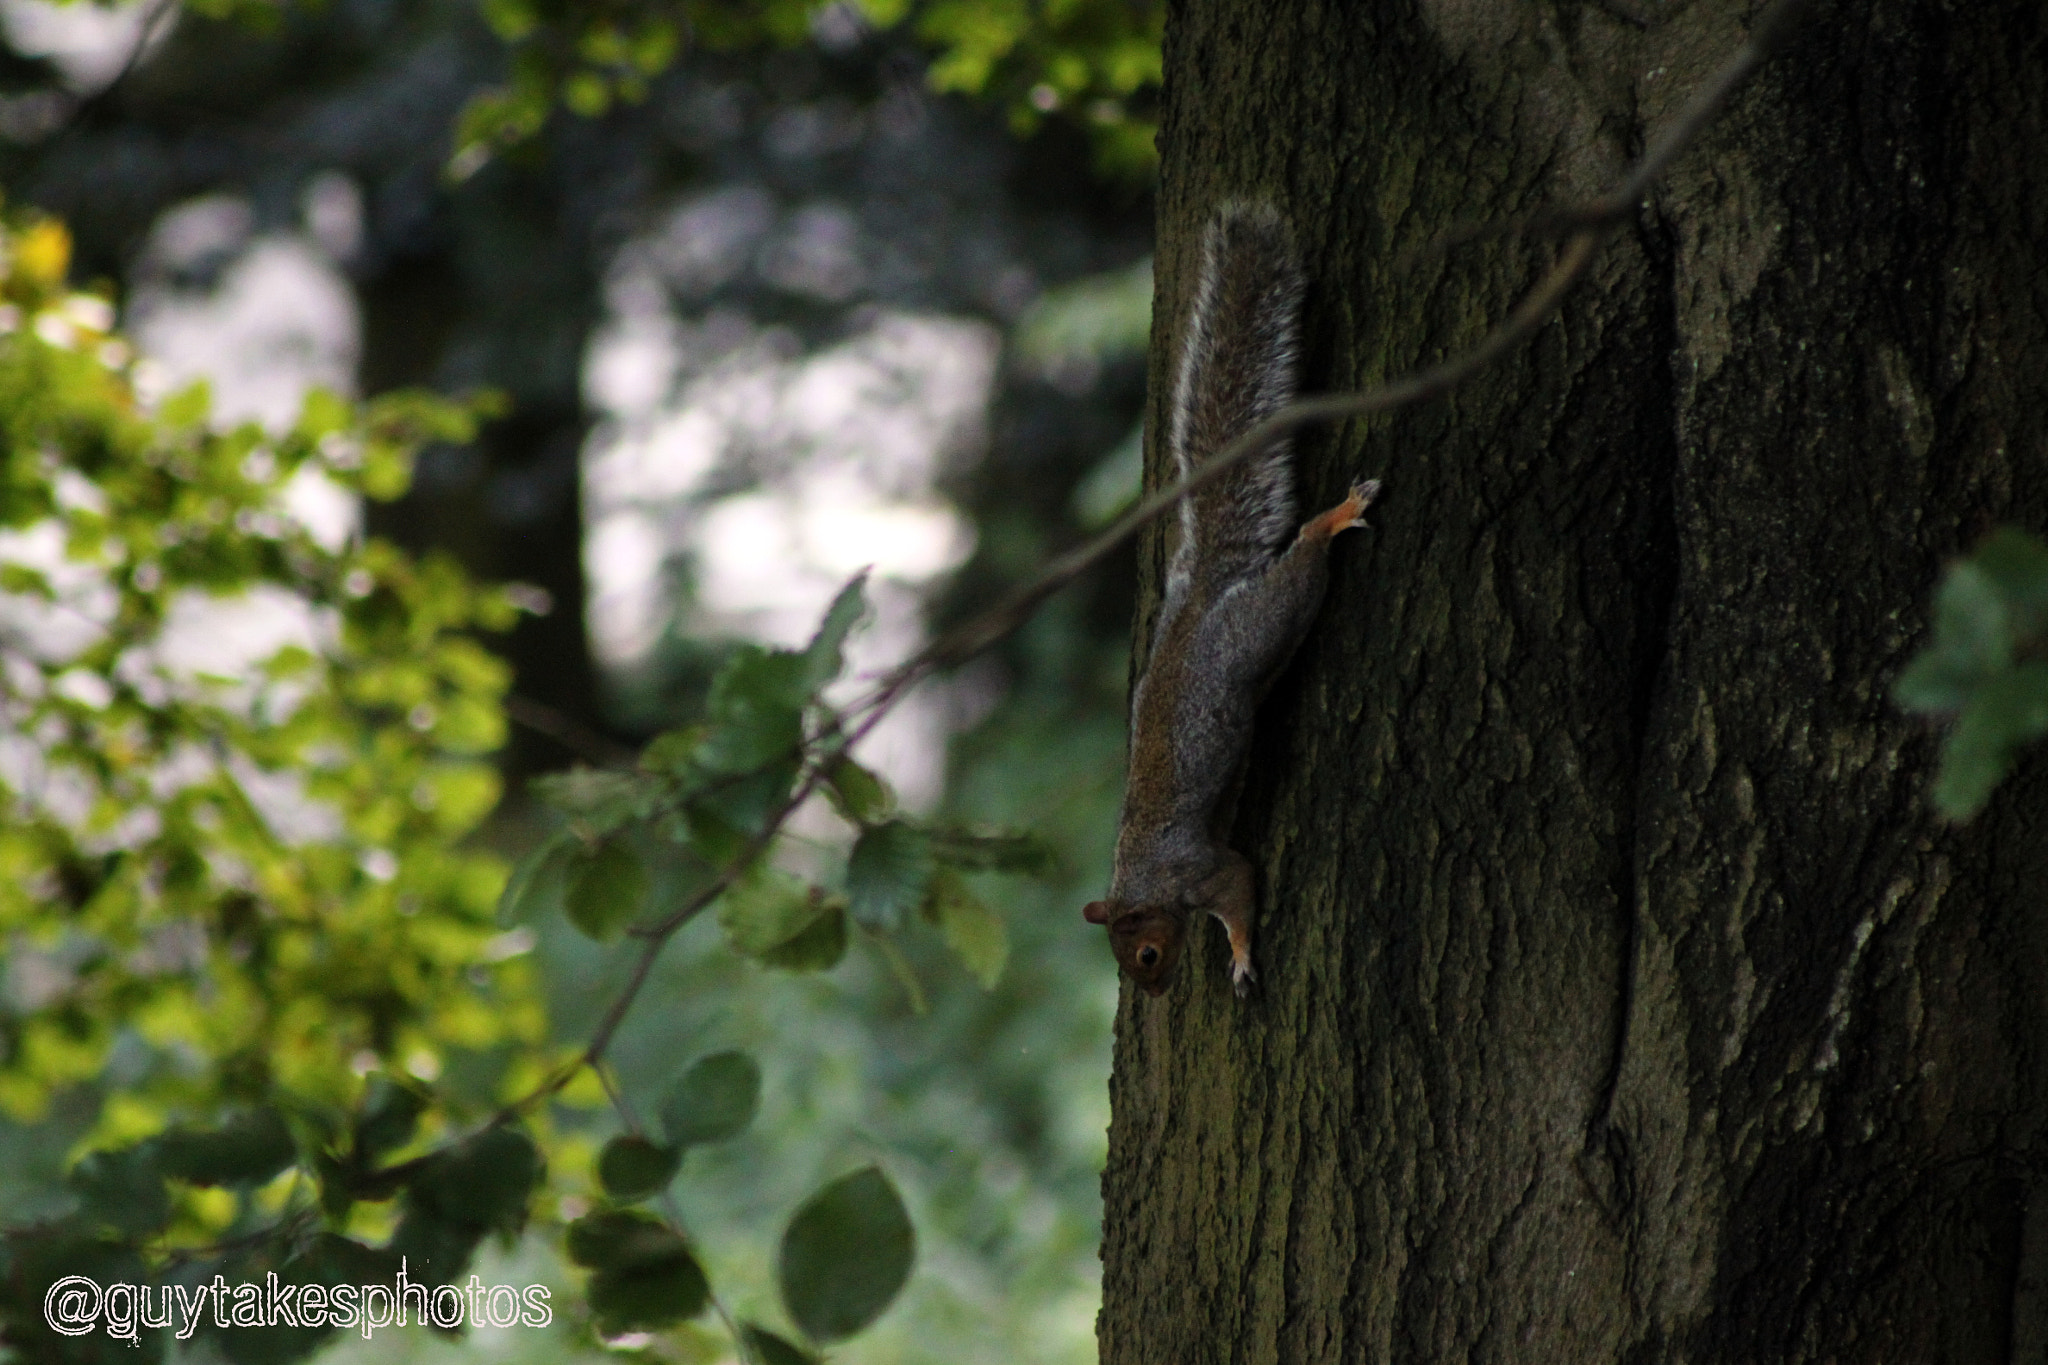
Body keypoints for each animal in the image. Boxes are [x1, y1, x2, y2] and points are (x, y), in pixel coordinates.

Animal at [1081, 202, 1384, 998]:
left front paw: (1242, 956)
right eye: (1124, 960)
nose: (1155, 993)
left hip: (1261, 627)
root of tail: (1199, 604)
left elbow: (1242, 890)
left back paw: (1335, 519)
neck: (1145, 876)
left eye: (1144, 954)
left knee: (1302, 564)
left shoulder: (1205, 869)